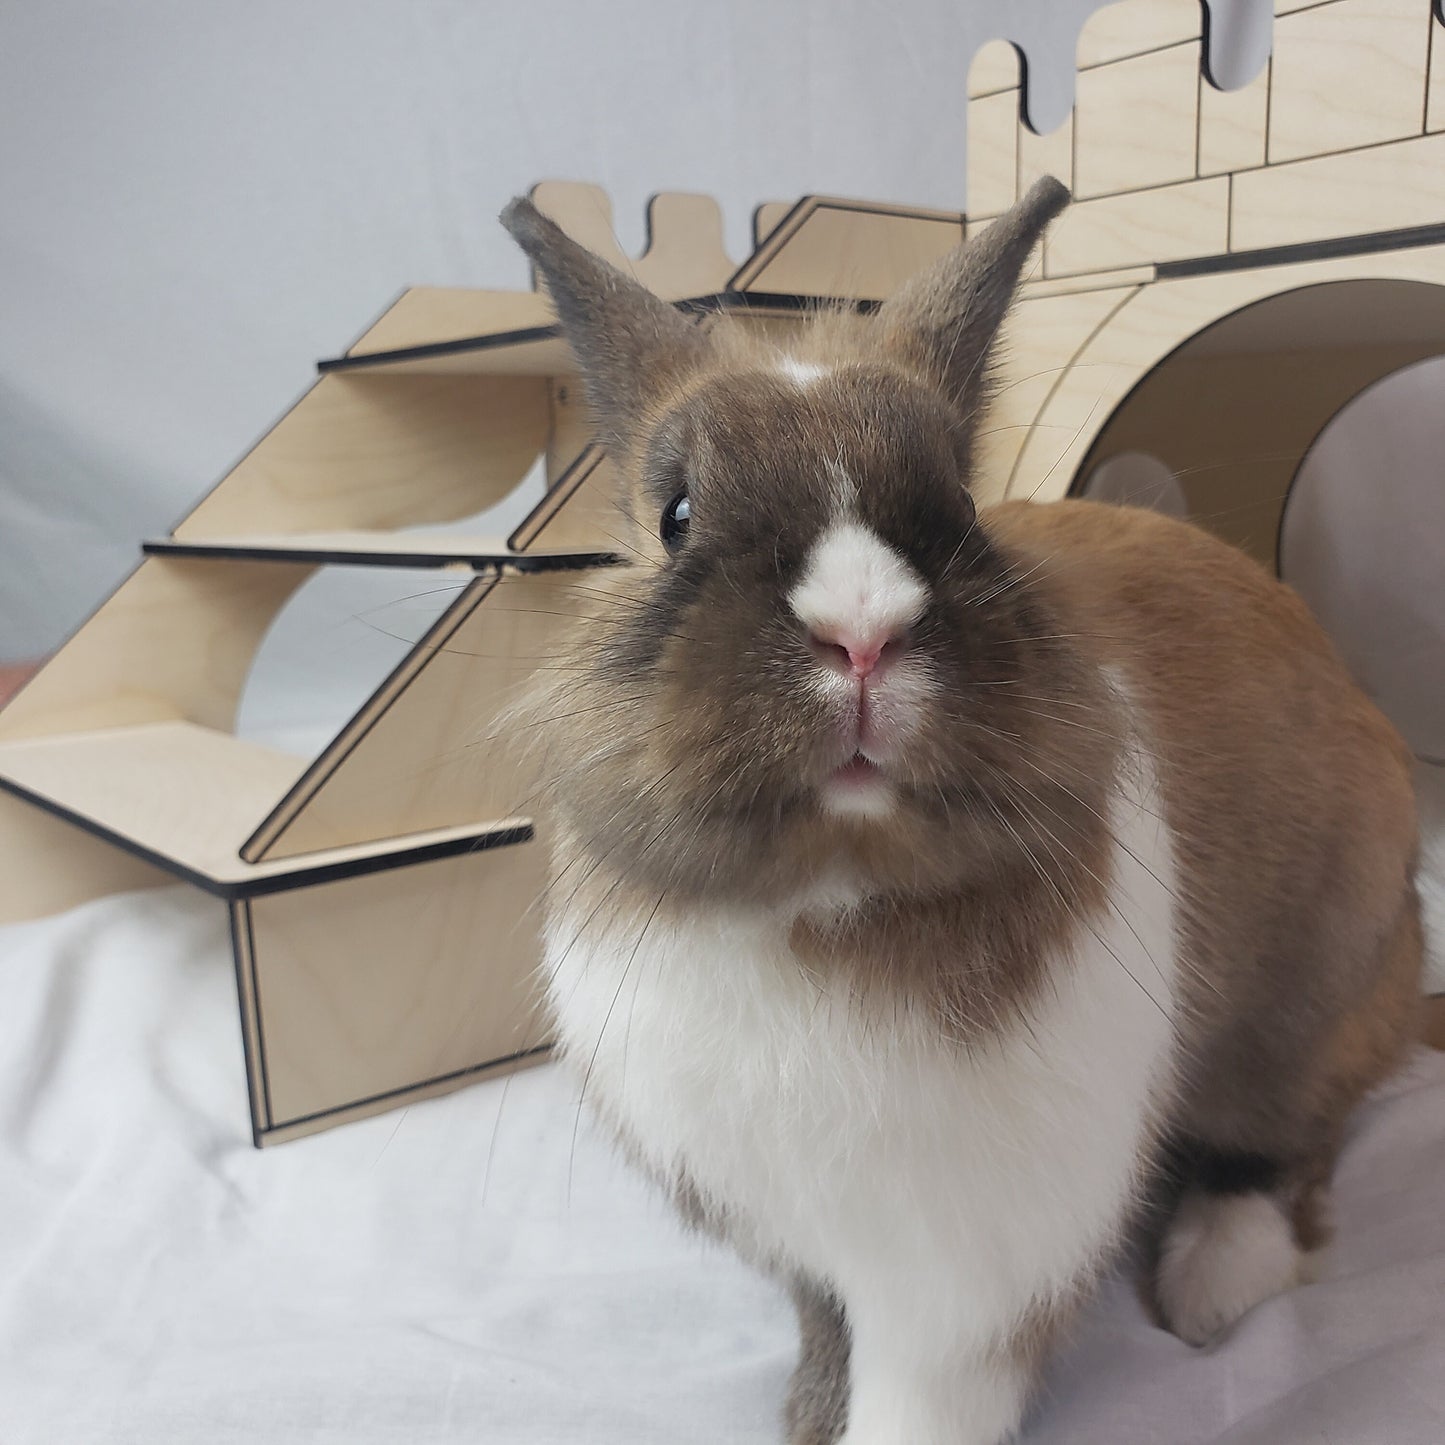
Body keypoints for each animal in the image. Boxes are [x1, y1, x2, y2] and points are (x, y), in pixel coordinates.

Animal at [499, 176, 1424, 1445]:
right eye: (676, 512)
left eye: (958, 508)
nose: (859, 635)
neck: (833, 896)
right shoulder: (804, 1231)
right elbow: (826, 1327)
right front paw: (807, 1412)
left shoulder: (969, 1276)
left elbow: (922, 1400)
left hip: (1306, 992)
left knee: (1281, 1144)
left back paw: (1209, 1286)